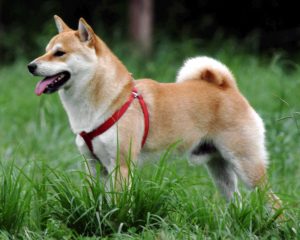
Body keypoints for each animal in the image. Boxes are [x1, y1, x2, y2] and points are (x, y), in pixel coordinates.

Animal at [27, 15, 282, 206]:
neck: (109, 100)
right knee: (236, 202)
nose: (31, 66)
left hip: (247, 167)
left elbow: (118, 205)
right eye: (46, 50)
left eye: (59, 53)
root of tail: (227, 87)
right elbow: (97, 202)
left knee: (273, 201)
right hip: (220, 171)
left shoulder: (121, 167)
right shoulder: (93, 166)